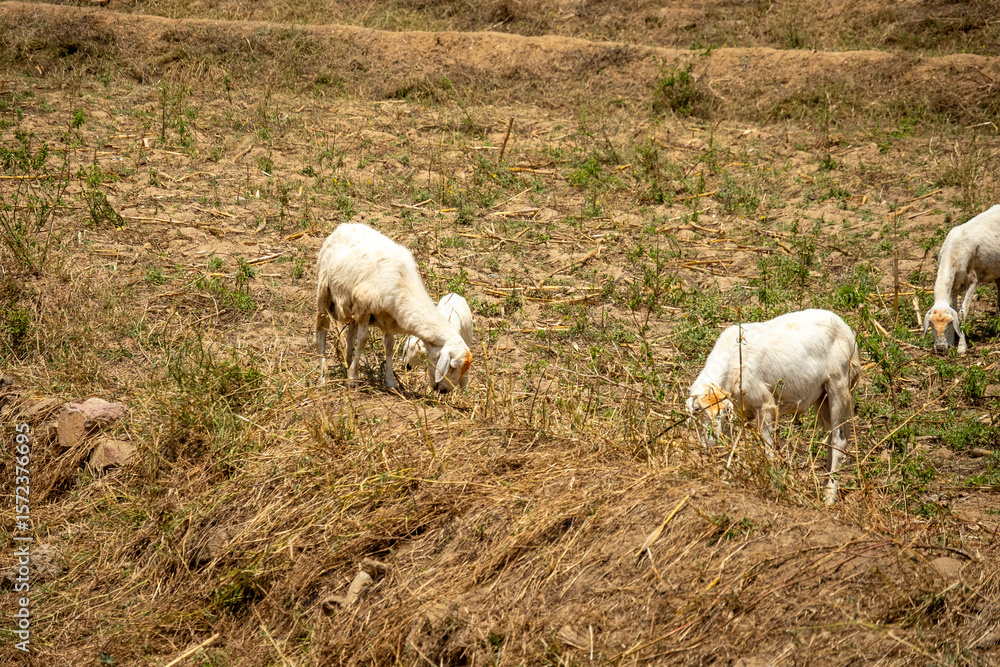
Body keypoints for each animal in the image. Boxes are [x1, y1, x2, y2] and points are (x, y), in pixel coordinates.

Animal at [315, 223, 472, 392]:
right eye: (452, 367)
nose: (444, 391)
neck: (404, 287)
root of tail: (344, 226)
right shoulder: (364, 307)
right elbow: (363, 340)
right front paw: (353, 378)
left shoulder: (389, 317)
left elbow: (389, 346)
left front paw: (390, 381)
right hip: (324, 291)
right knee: (321, 333)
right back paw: (324, 377)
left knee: (350, 337)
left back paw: (346, 366)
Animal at [686, 309, 861, 504]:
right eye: (697, 410)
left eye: (721, 412)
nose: (710, 444)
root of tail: (847, 330)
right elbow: (730, 445)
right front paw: (726, 476)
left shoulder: (765, 405)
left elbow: (767, 448)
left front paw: (771, 483)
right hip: (823, 398)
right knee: (832, 438)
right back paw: (824, 486)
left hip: (839, 385)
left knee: (839, 440)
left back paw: (829, 496)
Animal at [923, 204, 1000, 355]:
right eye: (931, 325)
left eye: (948, 324)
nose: (940, 348)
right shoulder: (954, 287)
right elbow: (955, 310)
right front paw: (953, 342)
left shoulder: (973, 280)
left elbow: (963, 312)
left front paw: (962, 347)